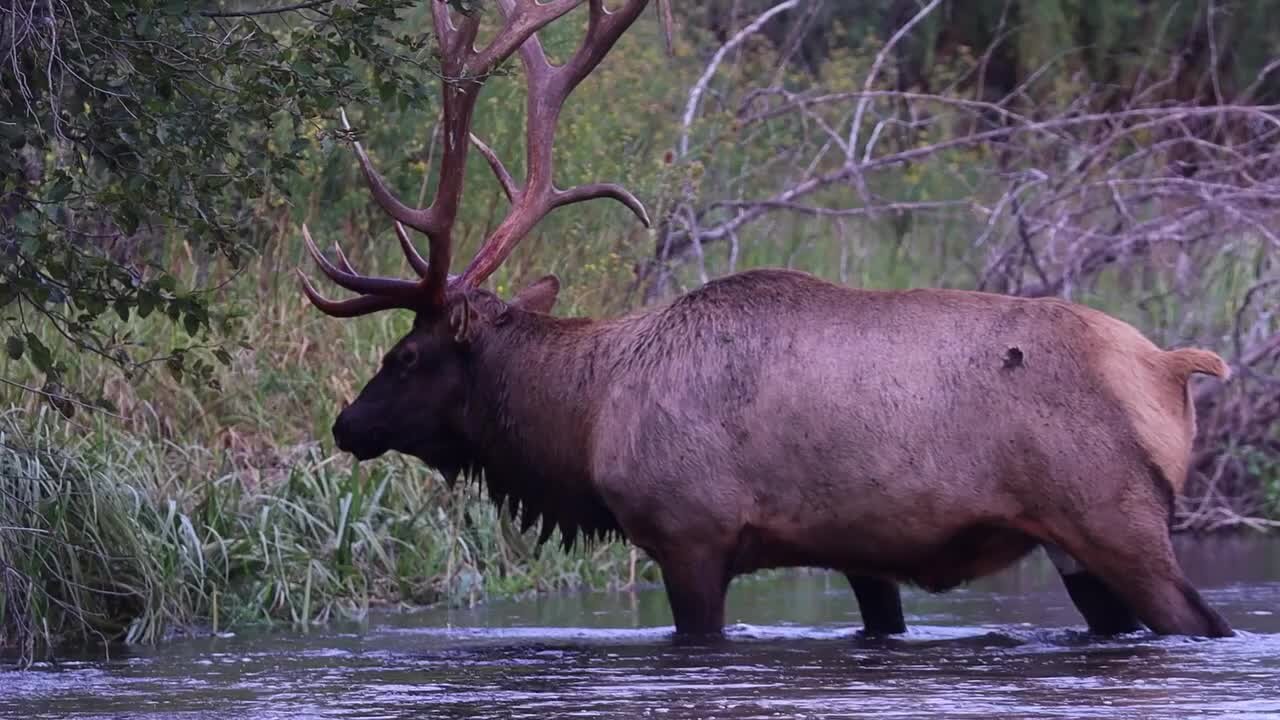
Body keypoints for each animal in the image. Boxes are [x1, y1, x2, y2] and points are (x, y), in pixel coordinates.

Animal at [296, 1, 1228, 638]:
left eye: (406, 354)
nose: (344, 424)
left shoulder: (690, 532)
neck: (587, 422)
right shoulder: (859, 554)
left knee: (1203, 624)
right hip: (1079, 550)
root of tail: (1174, 367)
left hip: (1113, 519)